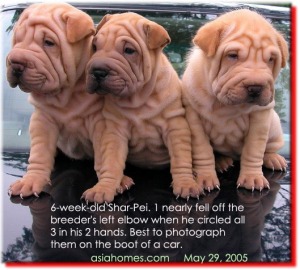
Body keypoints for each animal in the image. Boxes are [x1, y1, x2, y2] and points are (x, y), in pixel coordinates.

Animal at [5, 2, 108, 198]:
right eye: (18, 40)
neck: (67, 93)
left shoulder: (101, 122)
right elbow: (39, 153)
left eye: (49, 43)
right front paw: (31, 181)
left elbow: (104, 154)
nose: (15, 62)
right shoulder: (42, 121)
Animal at [83, 12, 199, 202]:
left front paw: (186, 183)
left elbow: (180, 159)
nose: (98, 71)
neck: (139, 99)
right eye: (94, 46)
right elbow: (111, 162)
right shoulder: (114, 132)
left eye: (129, 50)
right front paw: (104, 188)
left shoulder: (176, 127)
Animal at [182, 9, 290, 192]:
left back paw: (273, 158)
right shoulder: (194, 118)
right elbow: (203, 150)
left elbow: (254, 150)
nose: (256, 87)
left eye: (271, 59)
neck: (226, 105)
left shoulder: (260, 118)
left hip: (274, 125)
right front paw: (205, 178)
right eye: (232, 56)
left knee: (269, 147)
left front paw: (252, 178)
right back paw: (221, 161)